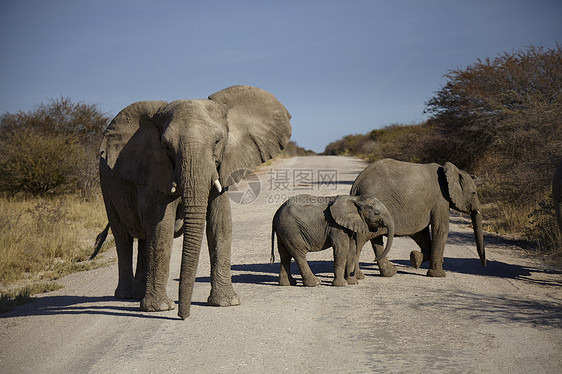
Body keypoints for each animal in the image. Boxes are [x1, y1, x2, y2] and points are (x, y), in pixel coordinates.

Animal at [350, 158, 486, 278]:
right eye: (474, 193)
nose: (484, 265)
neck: (449, 171)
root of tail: (356, 184)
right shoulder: (441, 199)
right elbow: (440, 229)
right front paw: (438, 275)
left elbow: (420, 233)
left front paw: (415, 258)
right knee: (368, 234)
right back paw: (359, 275)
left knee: (375, 237)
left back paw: (389, 273)